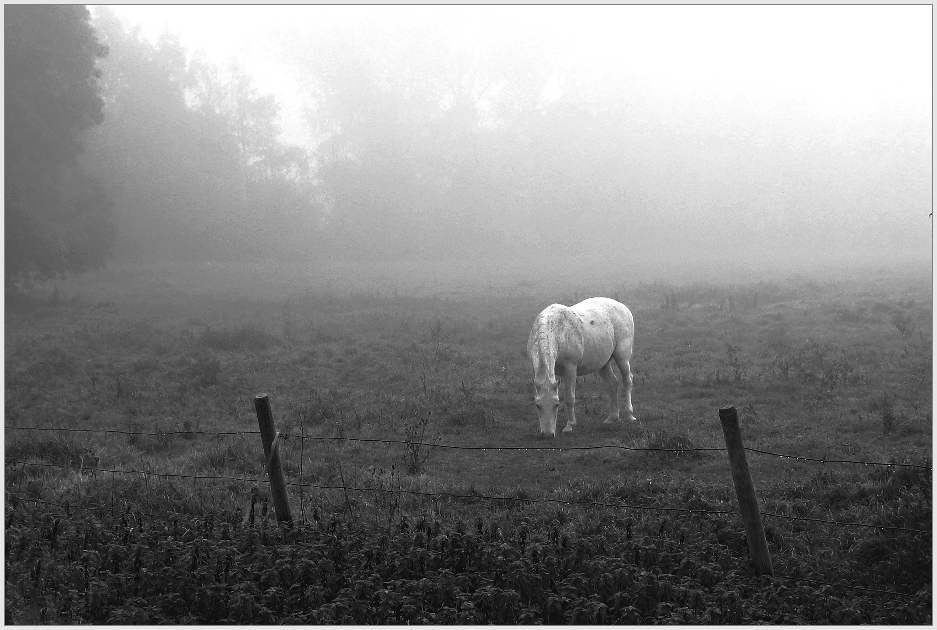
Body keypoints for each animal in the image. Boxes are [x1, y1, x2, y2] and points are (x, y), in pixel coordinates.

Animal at [528, 298, 636, 440]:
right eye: (538, 405)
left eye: (556, 405)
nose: (547, 435)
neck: (557, 330)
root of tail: (624, 308)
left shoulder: (570, 369)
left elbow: (569, 398)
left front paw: (570, 425)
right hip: (602, 364)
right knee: (612, 383)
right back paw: (612, 418)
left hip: (622, 357)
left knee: (627, 380)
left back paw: (630, 414)